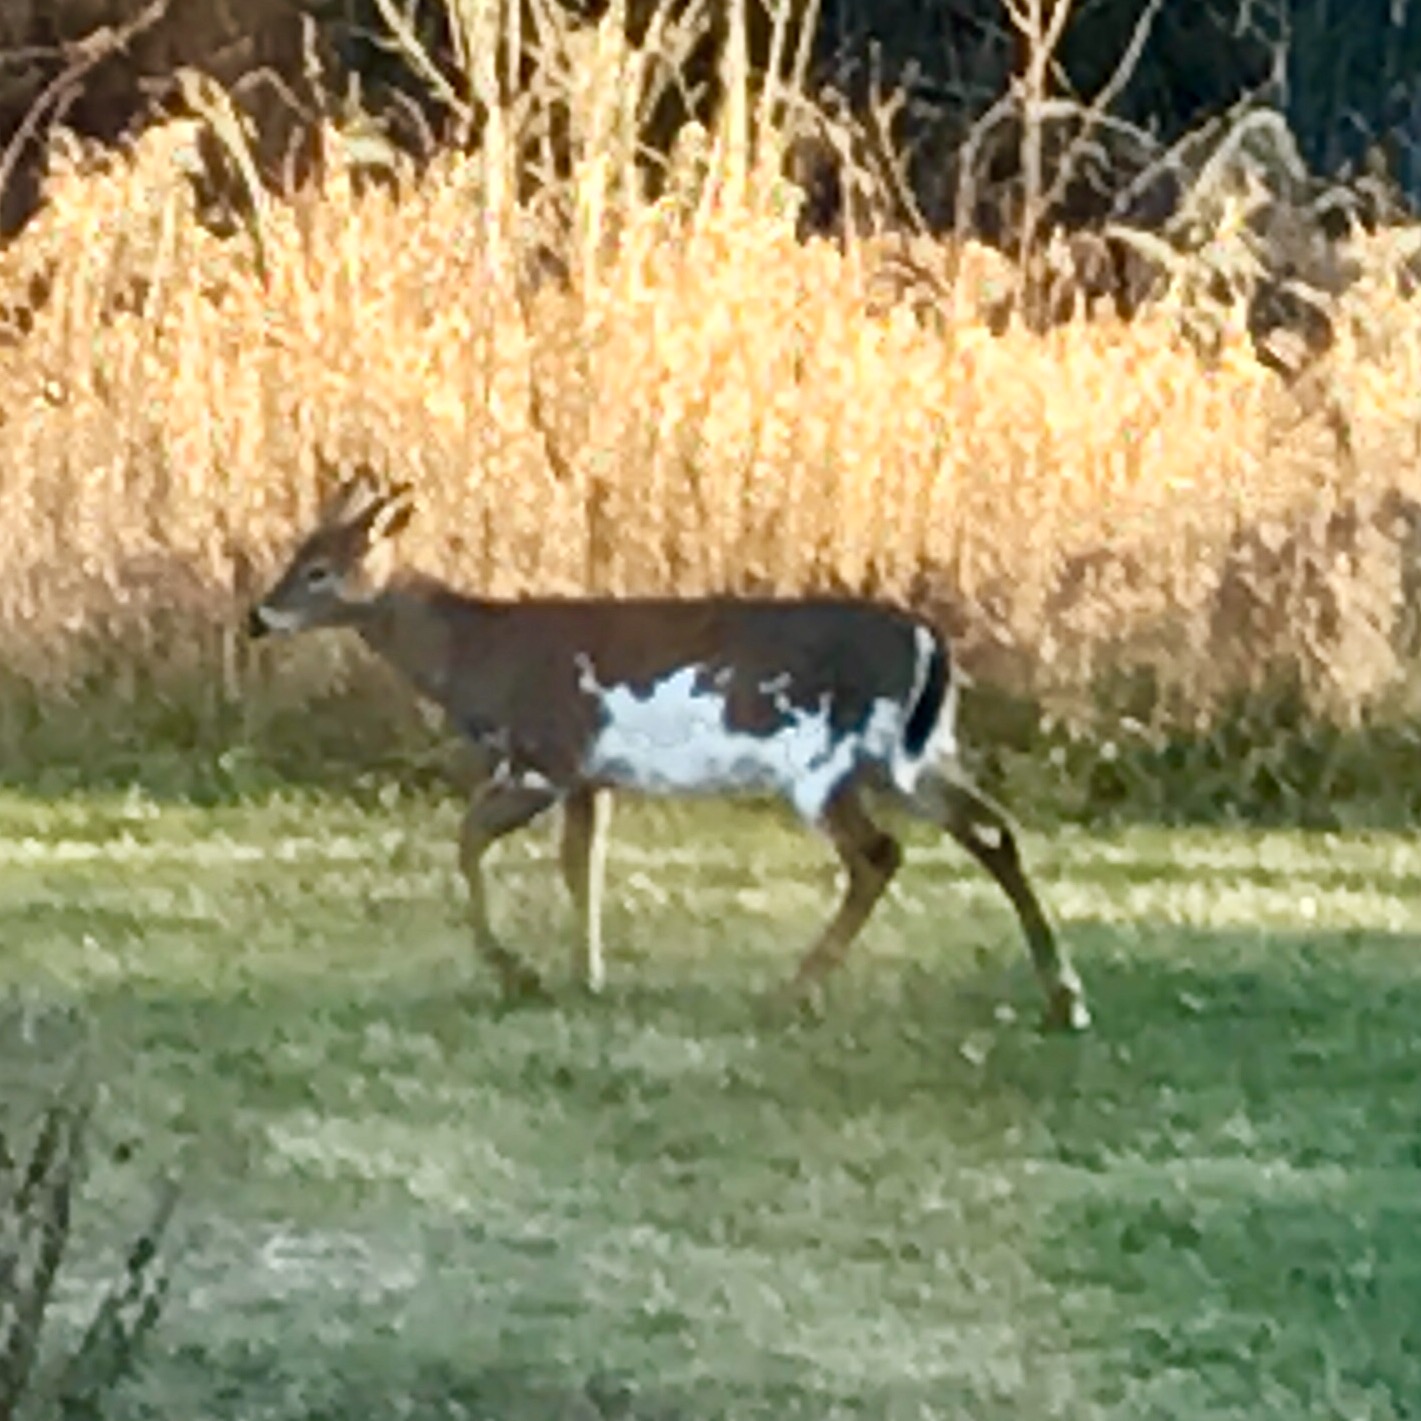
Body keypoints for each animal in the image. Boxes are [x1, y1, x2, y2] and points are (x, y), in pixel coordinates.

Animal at [246, 470, 1090, 1032]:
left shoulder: (546, 750)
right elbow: (580, 864)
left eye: (317, 570)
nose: (258, 616)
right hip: (914, 756)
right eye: (296, 551)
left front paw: (521, 974)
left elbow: (468, 838)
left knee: (879, 855)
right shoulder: (593, 774)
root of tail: (930, 643)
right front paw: (585, 975)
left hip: (821, 759)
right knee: (992, 830)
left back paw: (792, 991)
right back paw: (1064, 997)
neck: (475, 654)